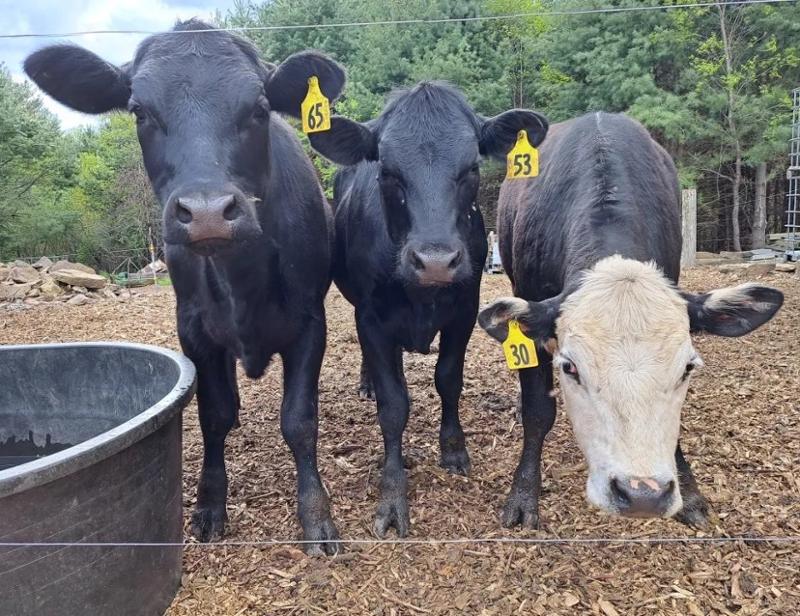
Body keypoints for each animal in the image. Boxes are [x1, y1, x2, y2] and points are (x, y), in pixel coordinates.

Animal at [25, 20, 345, 554]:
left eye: (259, 107)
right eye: (139, 110)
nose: (208, 211)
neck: (241, 277)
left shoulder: (308, 323)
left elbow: (299, 420)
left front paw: (317, 516)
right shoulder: (193, 328)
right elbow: (214, 415)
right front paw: (209, 506)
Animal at [307, 82, 549, 536]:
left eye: (471, 167)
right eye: (387, 171)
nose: (435, 261)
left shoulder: (463, 311)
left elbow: (448, 380)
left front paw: (453, 449)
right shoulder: (371, 319)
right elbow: (393, 405)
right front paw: (392, 493)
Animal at [479, 112, 783, 529]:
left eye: (688, 367)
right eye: (570, 367)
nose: (643, 494)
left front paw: (689, 493)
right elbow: (538, 411)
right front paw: (524, 495)